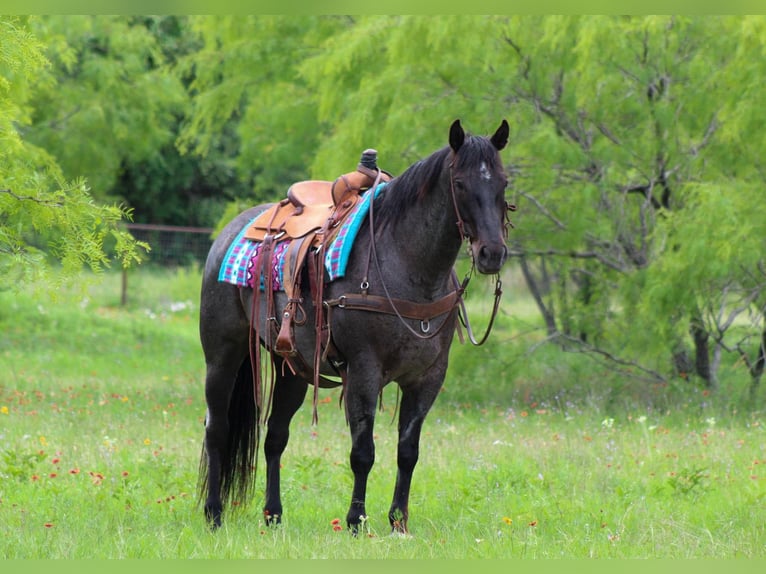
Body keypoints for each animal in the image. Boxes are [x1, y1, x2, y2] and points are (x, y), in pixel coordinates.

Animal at [198, 119, 512, 533]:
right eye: (459, 183)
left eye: (503, 182)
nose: (492, 253)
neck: (406, 265)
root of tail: (233, 230)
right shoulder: (364, 370)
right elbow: (363, 452)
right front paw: (356, 520)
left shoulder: (428, 377)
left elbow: (408, 451)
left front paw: (398, 522)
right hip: (223, 355)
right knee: (217, 430)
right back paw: (214, 513)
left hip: (293, 369)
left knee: (275, 437)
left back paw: (274, 515)